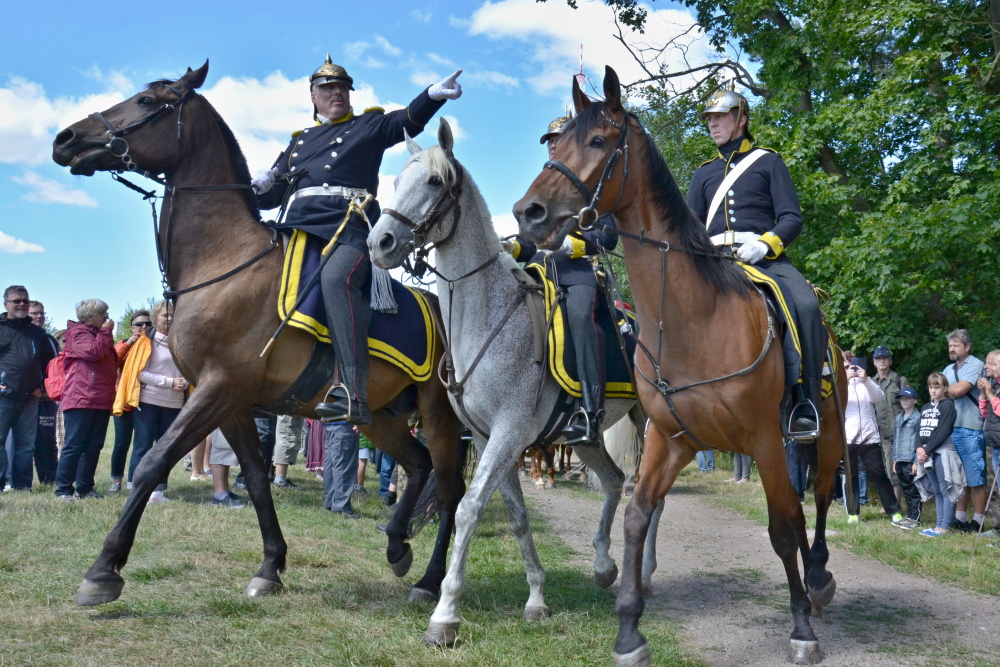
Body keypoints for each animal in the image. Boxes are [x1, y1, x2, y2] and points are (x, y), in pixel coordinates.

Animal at [49, 61, 464, 604]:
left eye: (146, 102)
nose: (66, 139)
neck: (222, 260)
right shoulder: (233, 400)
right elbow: (257, 478)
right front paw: (270, 566)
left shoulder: (219, 387)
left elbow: (151, 463)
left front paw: (103, 571)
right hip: (381, 417)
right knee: (416, 466)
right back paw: (397, 546)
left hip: (438, 413)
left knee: (450, 488)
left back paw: (430, 580)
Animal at [368, 118, 656, 648]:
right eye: (396, 180)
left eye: (434, 182)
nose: (380, 244)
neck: (487, 316)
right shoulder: (487, 438)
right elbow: (517, 516)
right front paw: (537, 597)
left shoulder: (508, 433)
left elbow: (468, 508)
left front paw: (444, 614)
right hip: (585, 437)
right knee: (612, 481)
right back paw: (604, 565)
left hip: (654, 425)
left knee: (651, 495)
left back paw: (641, 572)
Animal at [512, 66, 848, 667]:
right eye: (560, 140)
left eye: (598, 140)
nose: (528, 213)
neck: (696, 321)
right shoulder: (669, 439)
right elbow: (636, 514)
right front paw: (629, 629)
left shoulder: (765, 441)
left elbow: (783, 527)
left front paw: (801, 629)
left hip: (826, 432)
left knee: (824, 496)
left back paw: (818, 578)